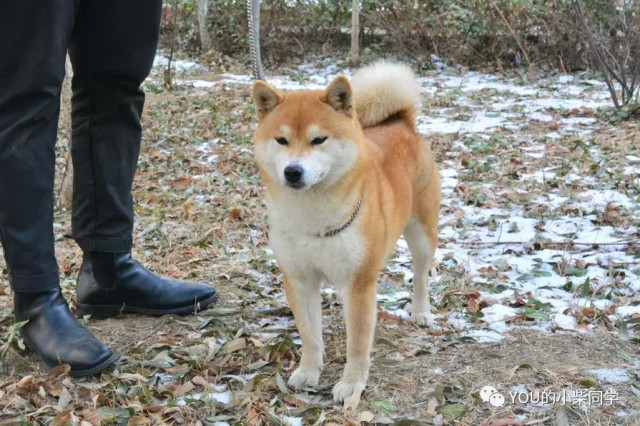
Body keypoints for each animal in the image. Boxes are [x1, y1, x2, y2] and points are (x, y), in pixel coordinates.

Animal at [250, 60, 440, 402]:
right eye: (281, 140)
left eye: (319, 140)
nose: (293, 171)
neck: (314, 217)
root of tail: (402, 121)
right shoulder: (299, 279)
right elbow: (310, 336)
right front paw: (308, 371)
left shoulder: (359, 284)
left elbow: (357, 344)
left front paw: (352, 384)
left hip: (421, 234)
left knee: (420, 274)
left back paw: (421, 311)